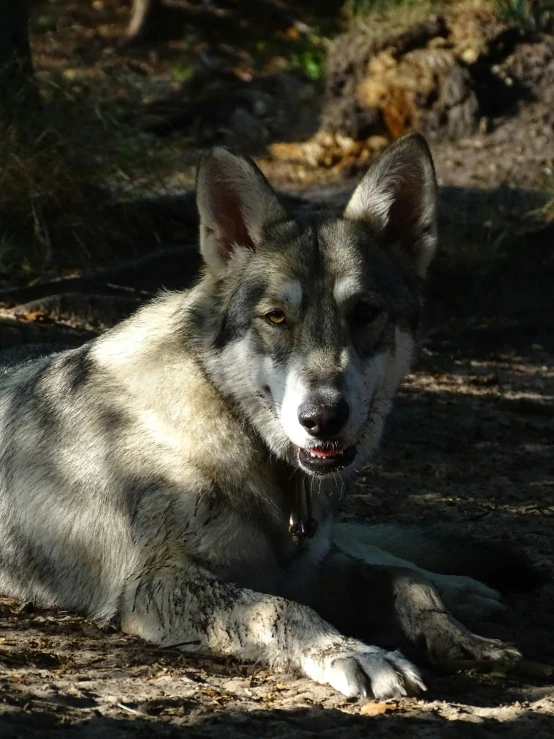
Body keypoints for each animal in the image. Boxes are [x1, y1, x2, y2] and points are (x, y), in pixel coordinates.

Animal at [0, 134, 536, 700]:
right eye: (276, 317)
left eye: (365, 313)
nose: (322, 417)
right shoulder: (157, 585)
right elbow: (285, 612)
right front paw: (358, 653)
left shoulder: (307, 566)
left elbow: (403, 582)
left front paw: (459, 635)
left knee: (383, 550)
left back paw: (468, 591)